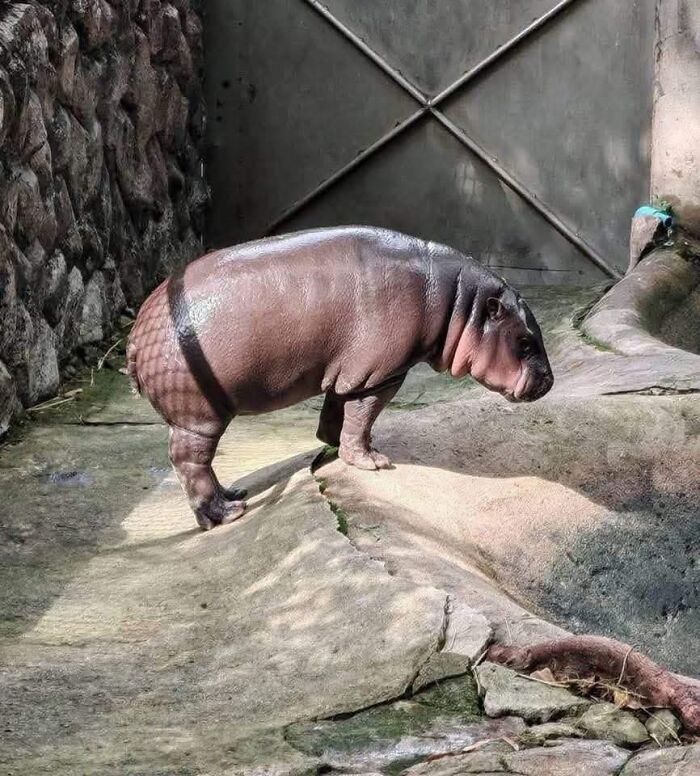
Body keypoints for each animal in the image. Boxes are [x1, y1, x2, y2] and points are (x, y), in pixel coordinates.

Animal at [127, 226, 553, 530]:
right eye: (525, 341)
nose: (549, 381)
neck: (460, 304)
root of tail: (135, 334)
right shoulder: (381, 374)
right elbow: (362, 416)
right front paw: (374, 462)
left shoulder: (349, 371)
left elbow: (338, 411)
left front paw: (333, 446)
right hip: (198, 415)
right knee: (189, 462)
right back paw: (226, 514)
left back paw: (236, 493)